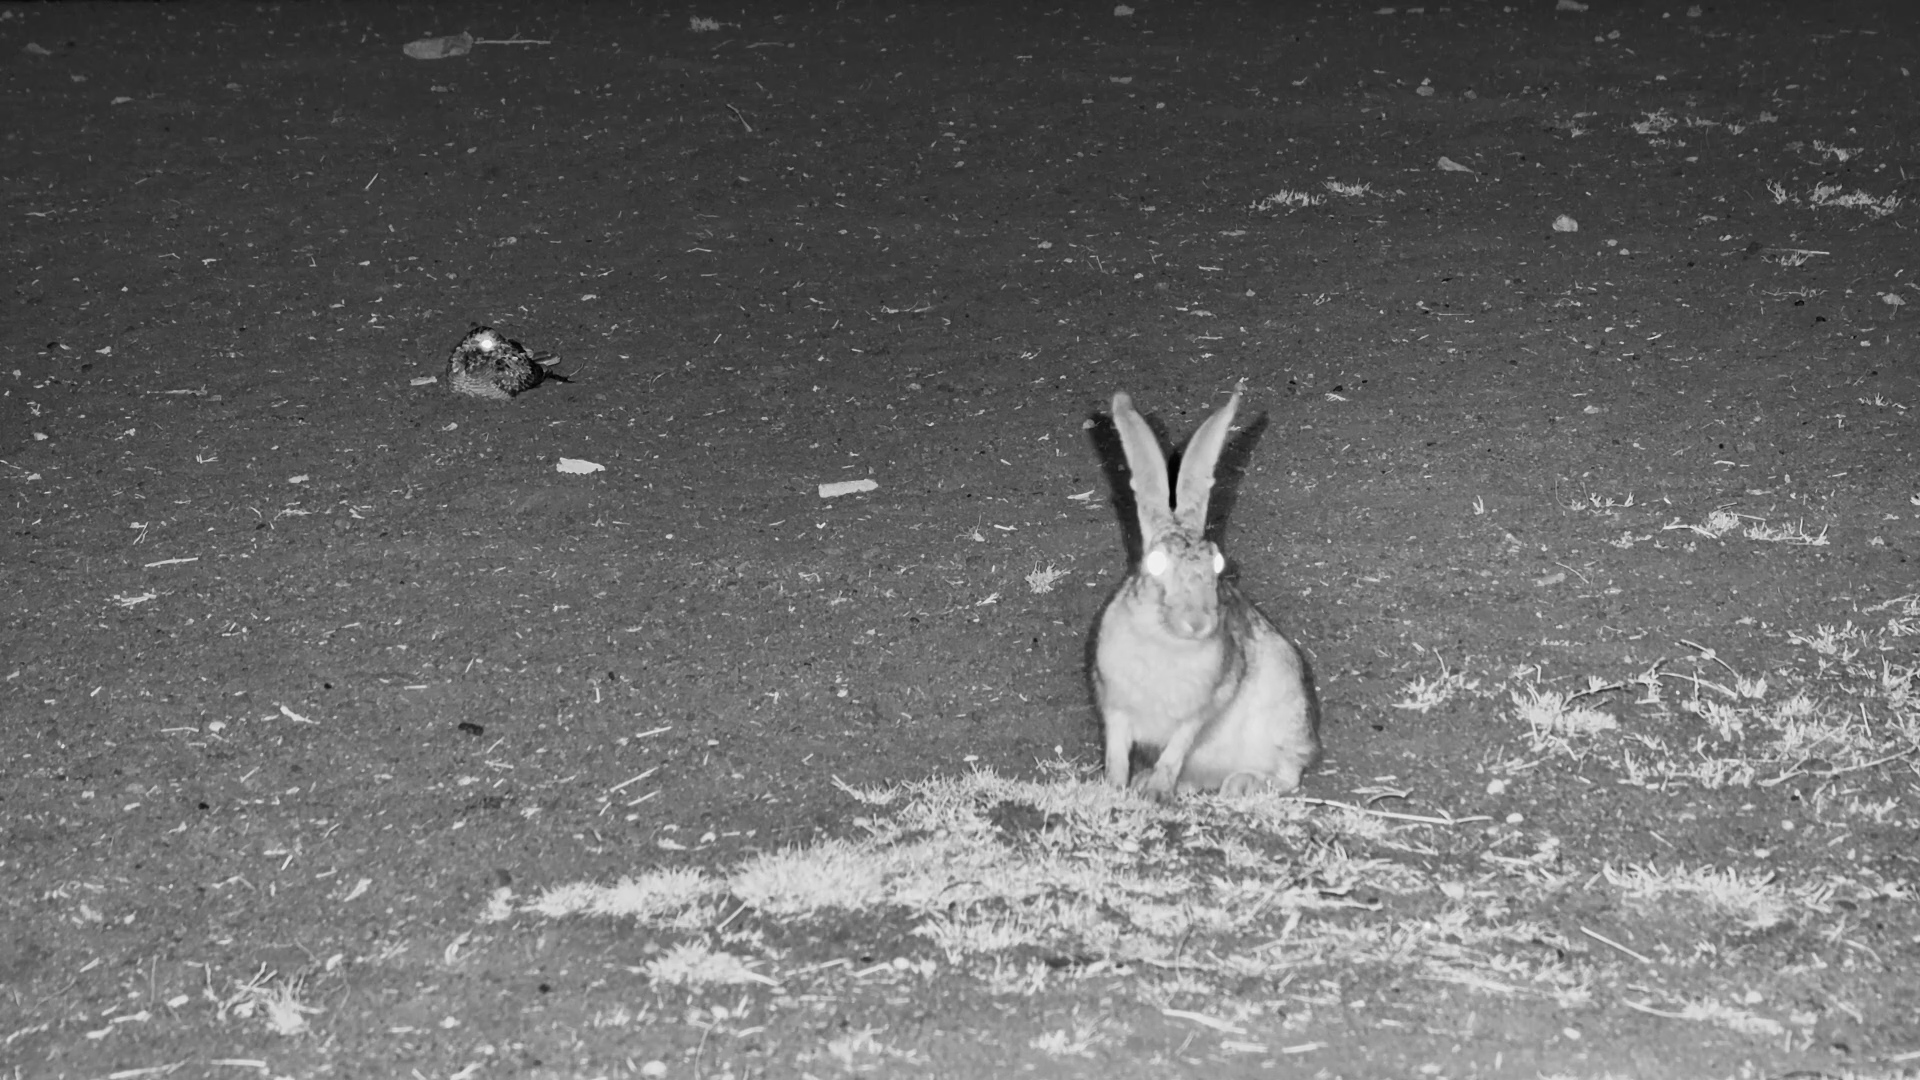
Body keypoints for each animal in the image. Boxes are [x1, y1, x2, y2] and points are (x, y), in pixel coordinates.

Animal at [1089, 382, 1321, 801]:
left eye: (1217, 563)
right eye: (1155, 565)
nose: (1197, 623)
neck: (1165, 641)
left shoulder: (1202, 710)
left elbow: (1177, 748)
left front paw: (1155, 791)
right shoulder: (1114, 707)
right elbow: (1116, 751)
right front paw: (1115, 789)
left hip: (1282, 716)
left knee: (1287, 774)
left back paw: (1241, 784)